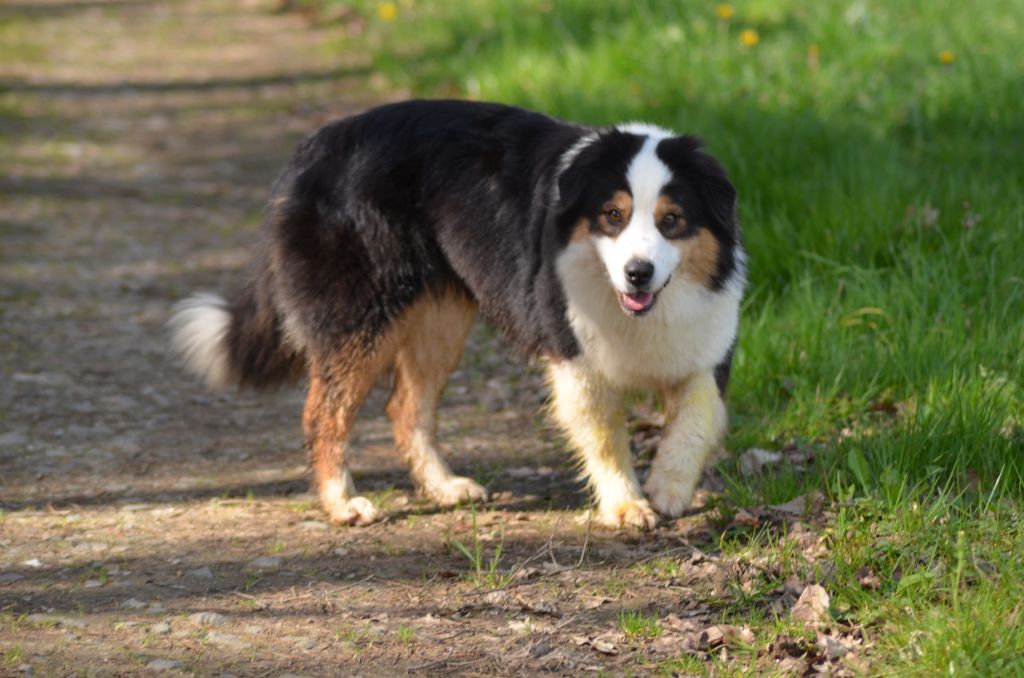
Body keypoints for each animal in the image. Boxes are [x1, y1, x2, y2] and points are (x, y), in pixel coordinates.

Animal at [167, 99, 745, 532]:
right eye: (613, 216)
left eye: (672, 220)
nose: (637, 273)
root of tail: (313, 148)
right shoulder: (575, 358)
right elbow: (604, 437)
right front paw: (626, 505)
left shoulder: (706, 346)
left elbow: (697, 419)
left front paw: (667, 489)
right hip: (359, 316)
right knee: (324, 413)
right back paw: (343, 504)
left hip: (439, 319)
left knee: (405, 407)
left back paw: (444, 487)